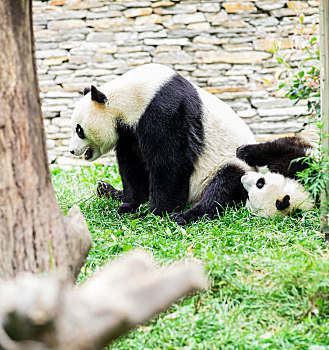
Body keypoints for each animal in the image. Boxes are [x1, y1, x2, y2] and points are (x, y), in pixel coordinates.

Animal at [68, 63, 255, 216]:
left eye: (79, 130)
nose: (71, 150)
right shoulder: (130, 132)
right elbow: (132, 164)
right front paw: (130, 206)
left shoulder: (166, 111)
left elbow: (170, 163)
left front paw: (157, 212)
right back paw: (107, 189)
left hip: (233, 162)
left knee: (225, 184)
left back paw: (185, 216)